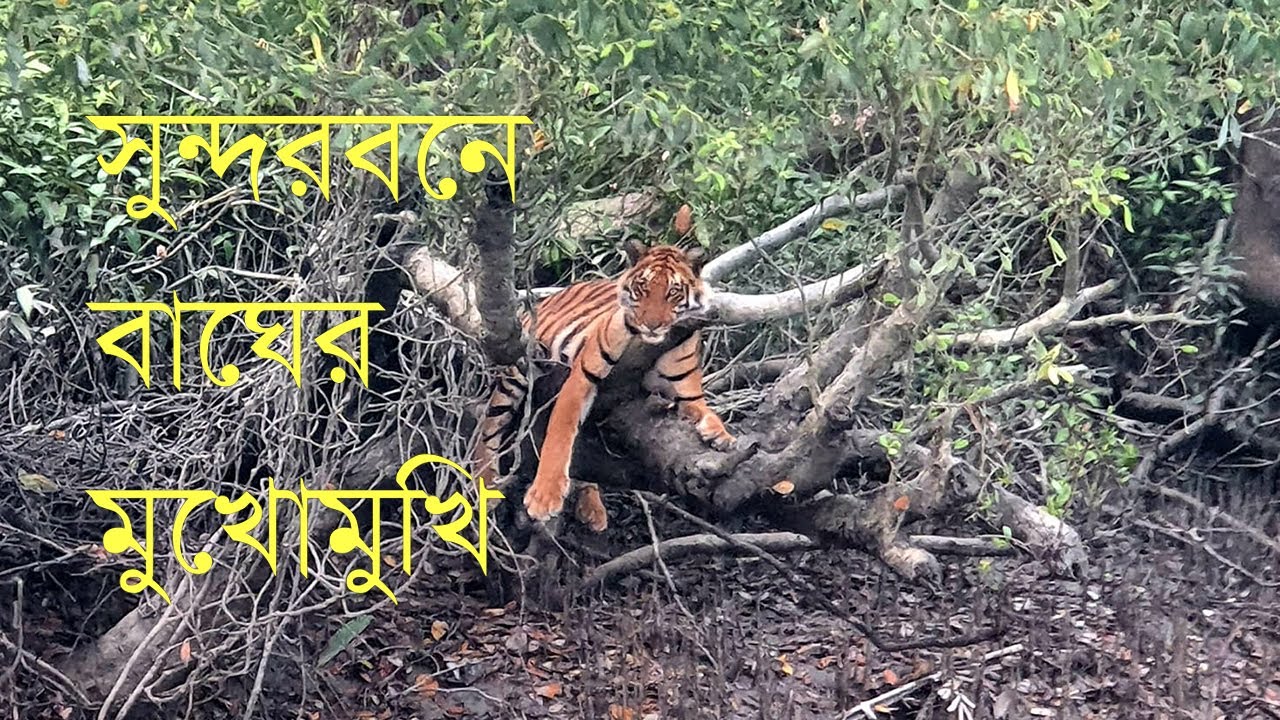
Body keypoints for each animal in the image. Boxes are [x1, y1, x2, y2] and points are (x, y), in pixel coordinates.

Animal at [472, 240, 736, 532]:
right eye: (642, 288)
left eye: (673, 292)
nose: (651, 325)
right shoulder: (582, 377)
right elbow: (559, 435)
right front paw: (544, 498)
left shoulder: (686, 389)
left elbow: (704, 408)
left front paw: (722, 435)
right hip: (519, 367)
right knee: (488, 424)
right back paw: (484, 482)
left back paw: (592, 508)